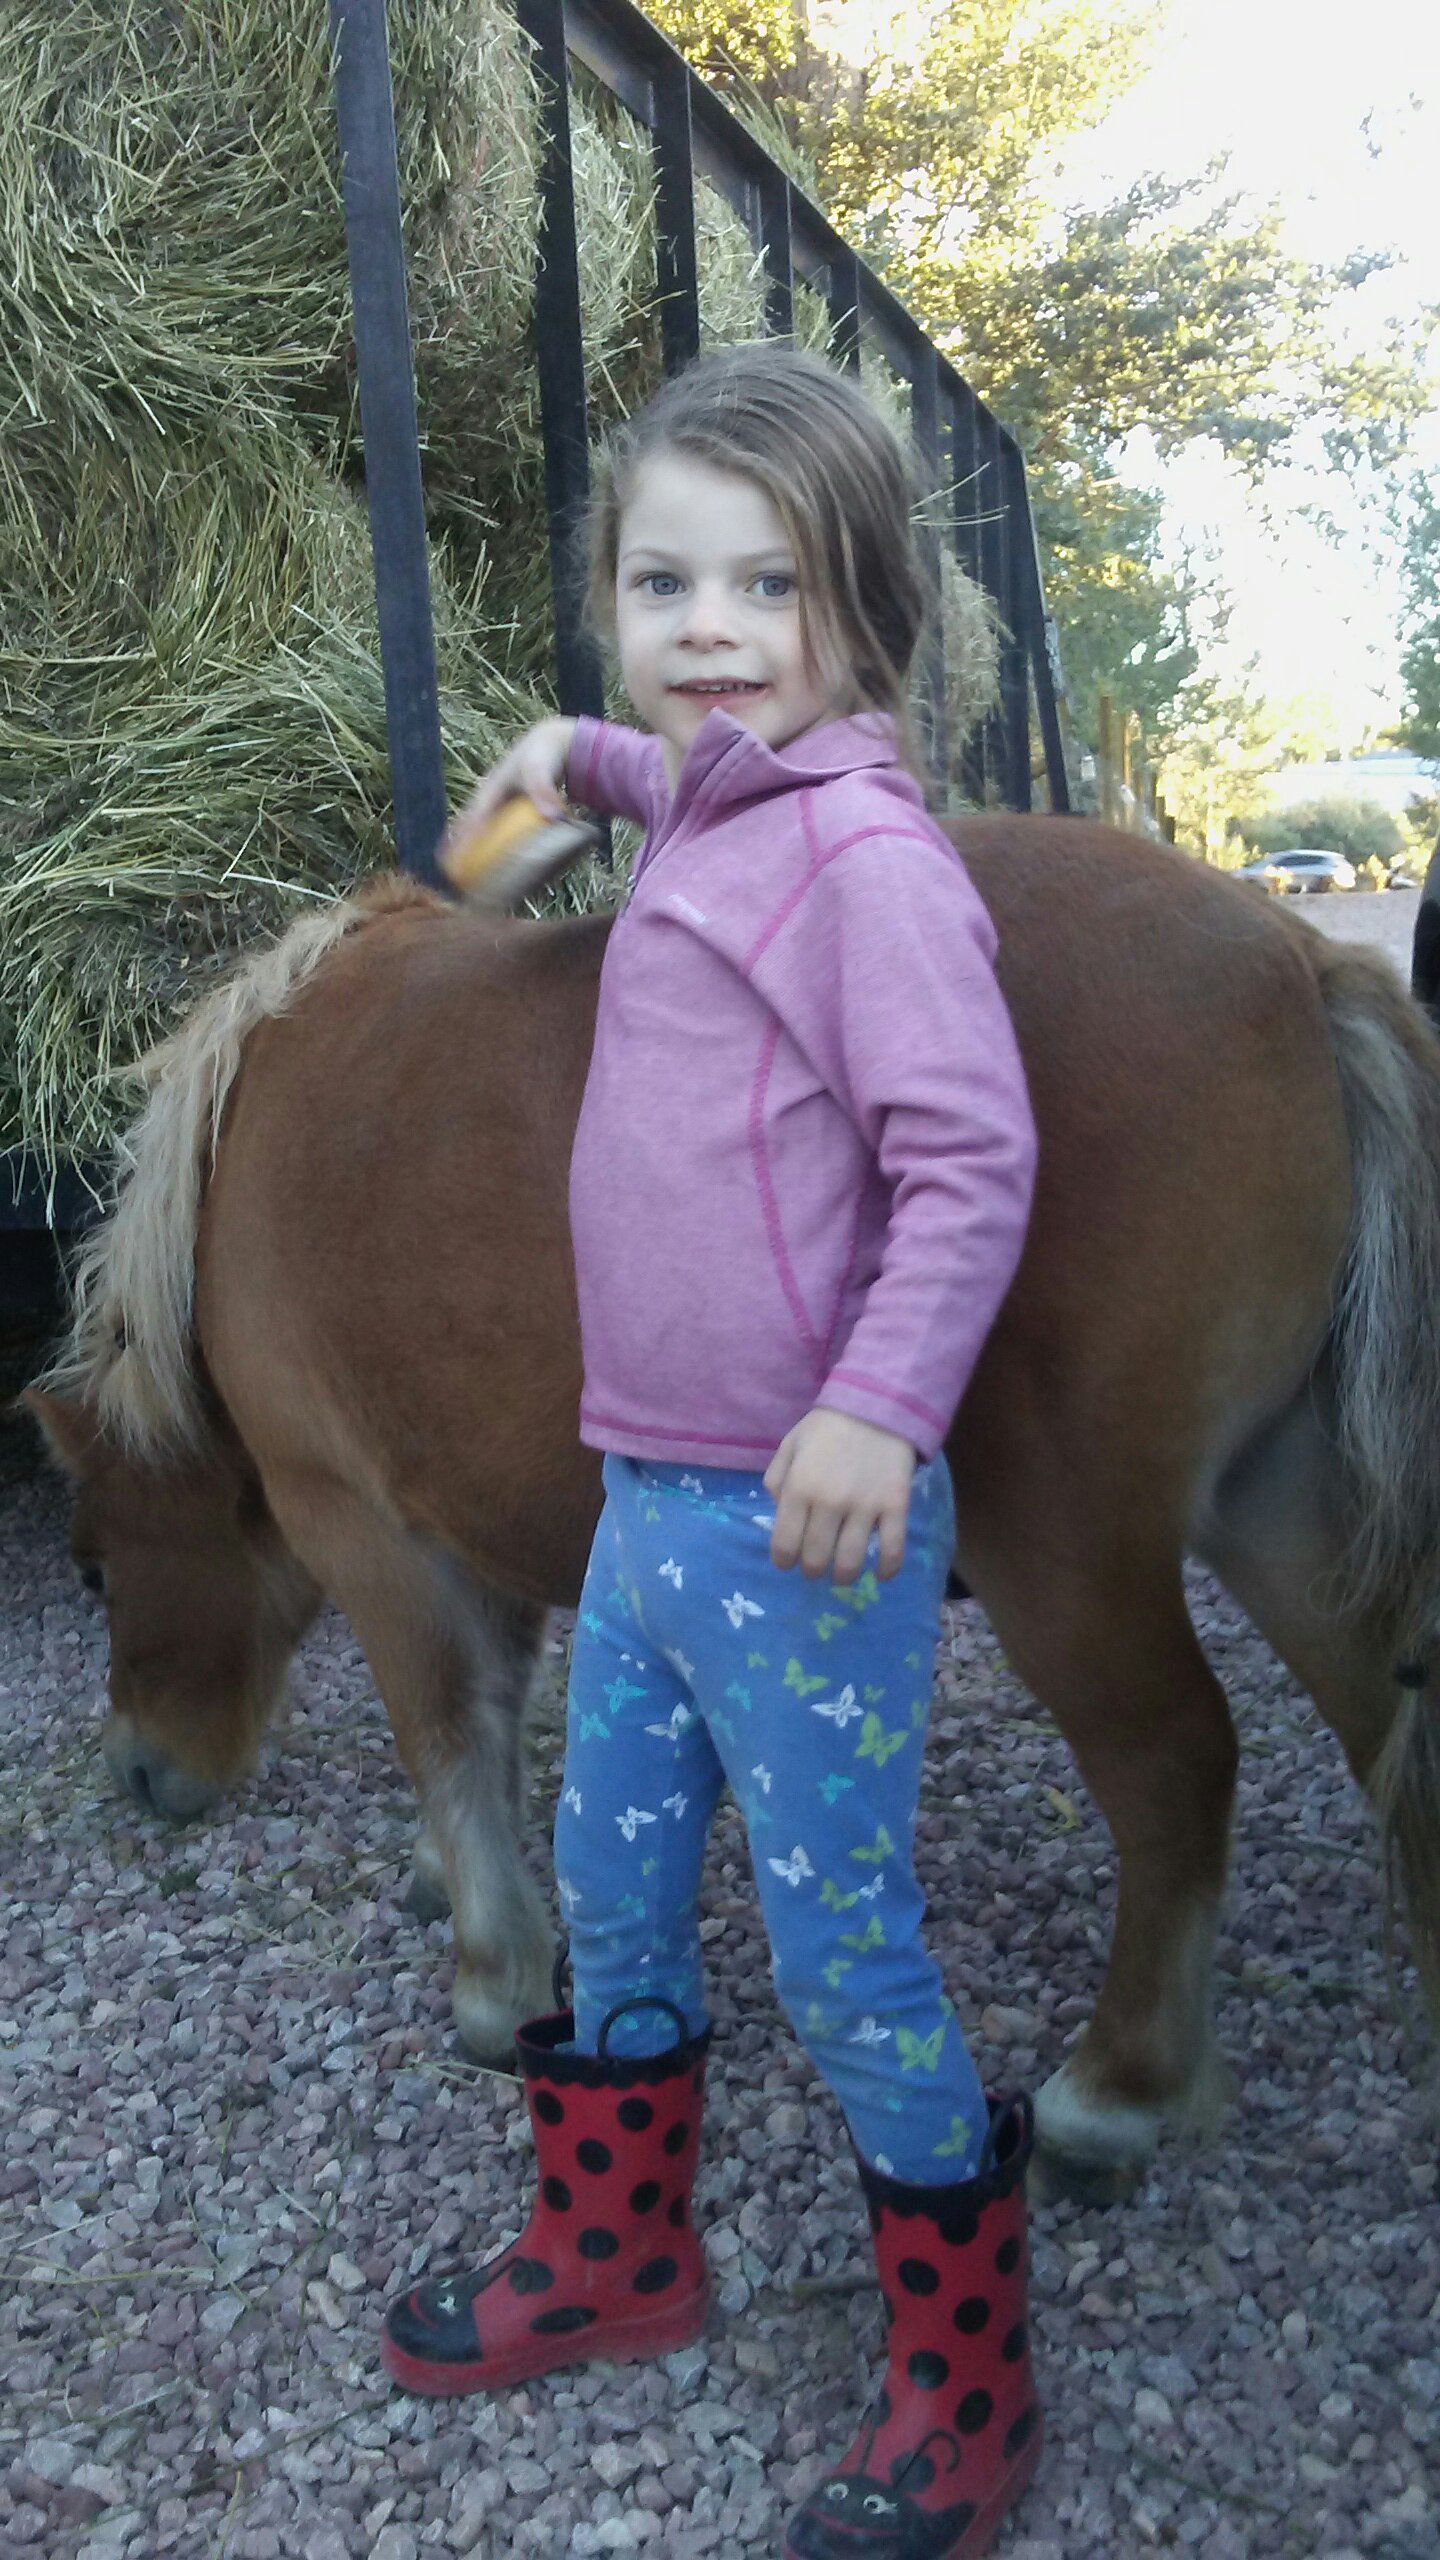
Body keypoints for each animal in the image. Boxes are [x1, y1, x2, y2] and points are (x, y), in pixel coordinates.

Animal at [25, 820, 1440, 2207]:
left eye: (95, 1569)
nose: (138, 1770)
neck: (249, 1117)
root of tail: (1300, 966)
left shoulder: (360, 1521)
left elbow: (443, 1725)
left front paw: (490, 1971)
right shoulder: (473, 1509)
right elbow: (495, 1709)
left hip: (1075, 1565)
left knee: (1175, 1765)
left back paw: (1116, 2091)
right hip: (1281, 1507)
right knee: (1389, 1721)